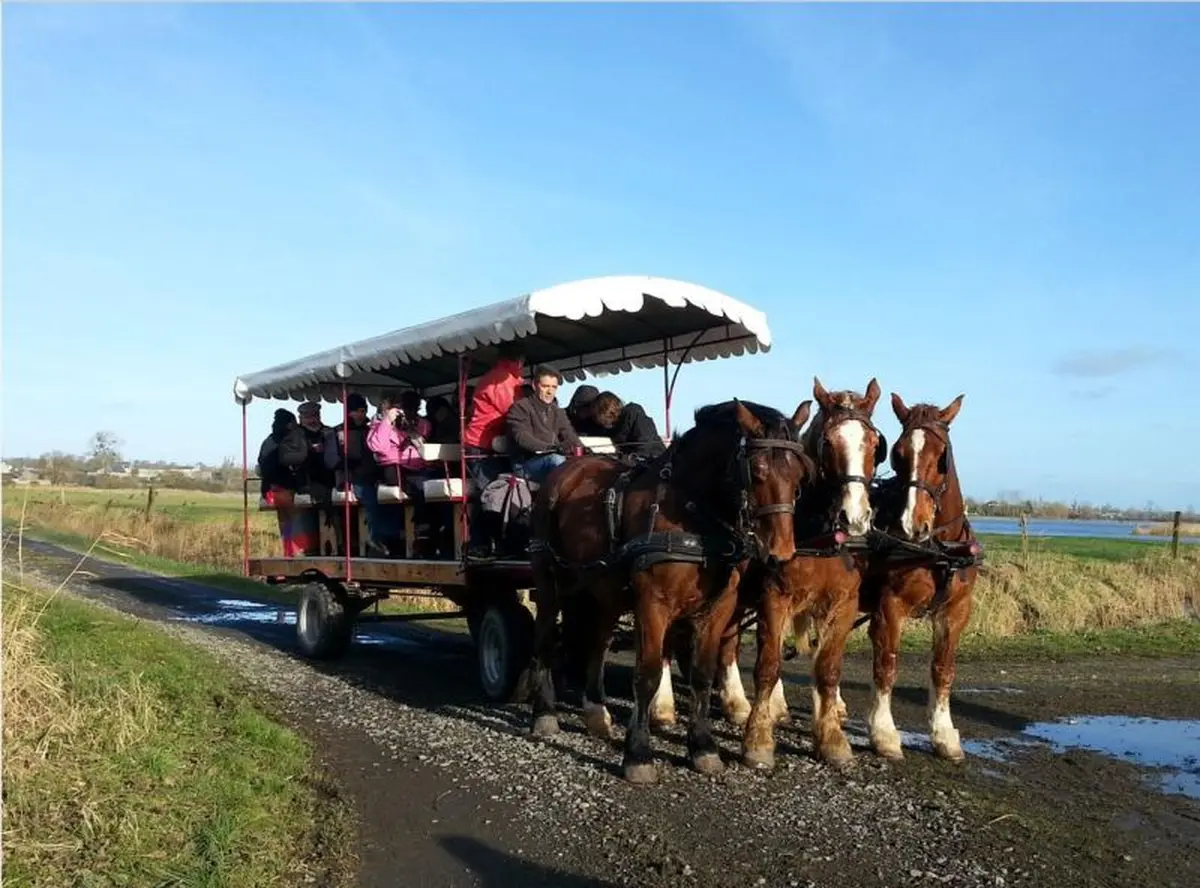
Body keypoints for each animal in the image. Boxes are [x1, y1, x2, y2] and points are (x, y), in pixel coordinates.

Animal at [526, 398, 815, 784]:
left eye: (799, 475)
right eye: (757, 469)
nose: (780, 553)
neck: (693, 515)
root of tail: (566, 469)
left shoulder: (720, 606)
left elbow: (702, 674)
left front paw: (703, 747)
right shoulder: (654, 603)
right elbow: (647, 674)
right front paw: (638, 754)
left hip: (604, 590)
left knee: (597, 643)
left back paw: (596, 712)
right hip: (549, 578)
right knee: (544, 637)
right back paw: (544, 713)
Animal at [709, 377, 889, 770]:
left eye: (874, 443)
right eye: (829, 442)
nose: (854, 518)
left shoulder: (844, 603)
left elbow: (828, 669)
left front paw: (832, 739)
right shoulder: (774, 596)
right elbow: (768, 664)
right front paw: (758, 739)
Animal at [794, 391, 982, 762]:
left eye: (942, 454)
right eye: (898, 453)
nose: (914, 523)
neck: (938, 547)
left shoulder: (955, 612)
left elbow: (943, 670)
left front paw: (944, 735)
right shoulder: (890, 608)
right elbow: (886, 665)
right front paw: (883, 733)